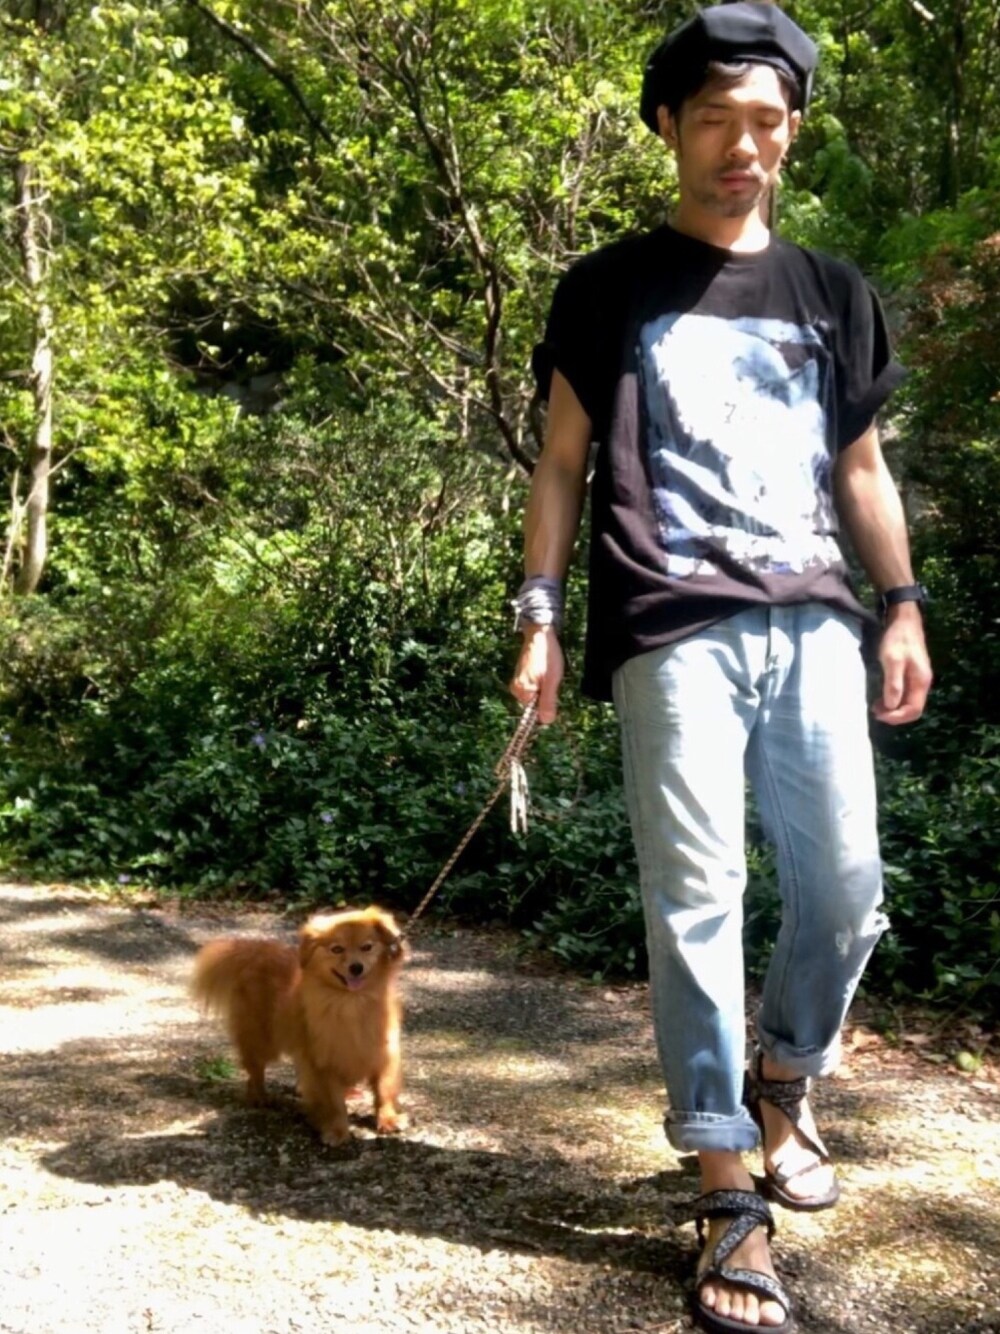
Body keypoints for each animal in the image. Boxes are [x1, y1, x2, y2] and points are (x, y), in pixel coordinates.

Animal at [191, 906, 406, 1145]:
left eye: (367, 947)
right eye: (337, 949)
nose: (356, 967)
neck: (352, 1002)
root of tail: (255, 952)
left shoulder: (383, 1054)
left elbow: (384, 1090)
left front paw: (388, 1119)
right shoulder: (322, 1064)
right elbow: (334, 1103)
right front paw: (337, 1131)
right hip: (262, 1040)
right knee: (255, 1070)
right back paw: (260, 1097)